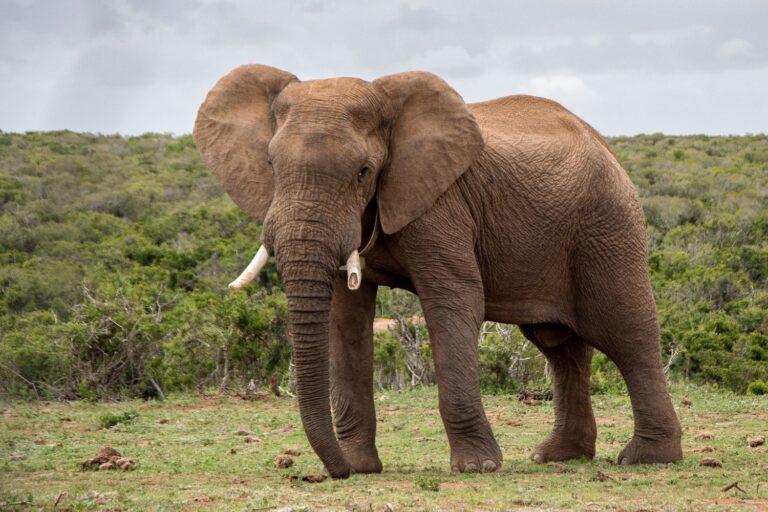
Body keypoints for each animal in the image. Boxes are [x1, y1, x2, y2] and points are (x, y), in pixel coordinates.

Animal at [193, 64, 683, 478]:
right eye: (271, 165)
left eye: (364, 171)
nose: (335, 472)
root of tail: (605, 145)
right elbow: (344, 319)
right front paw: (361, 466)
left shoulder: (442, 204)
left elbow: (454, 301)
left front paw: (477, 468)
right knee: (559, 346)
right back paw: (558, 456)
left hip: (607, 224)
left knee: (626, 332)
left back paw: (647, 459)